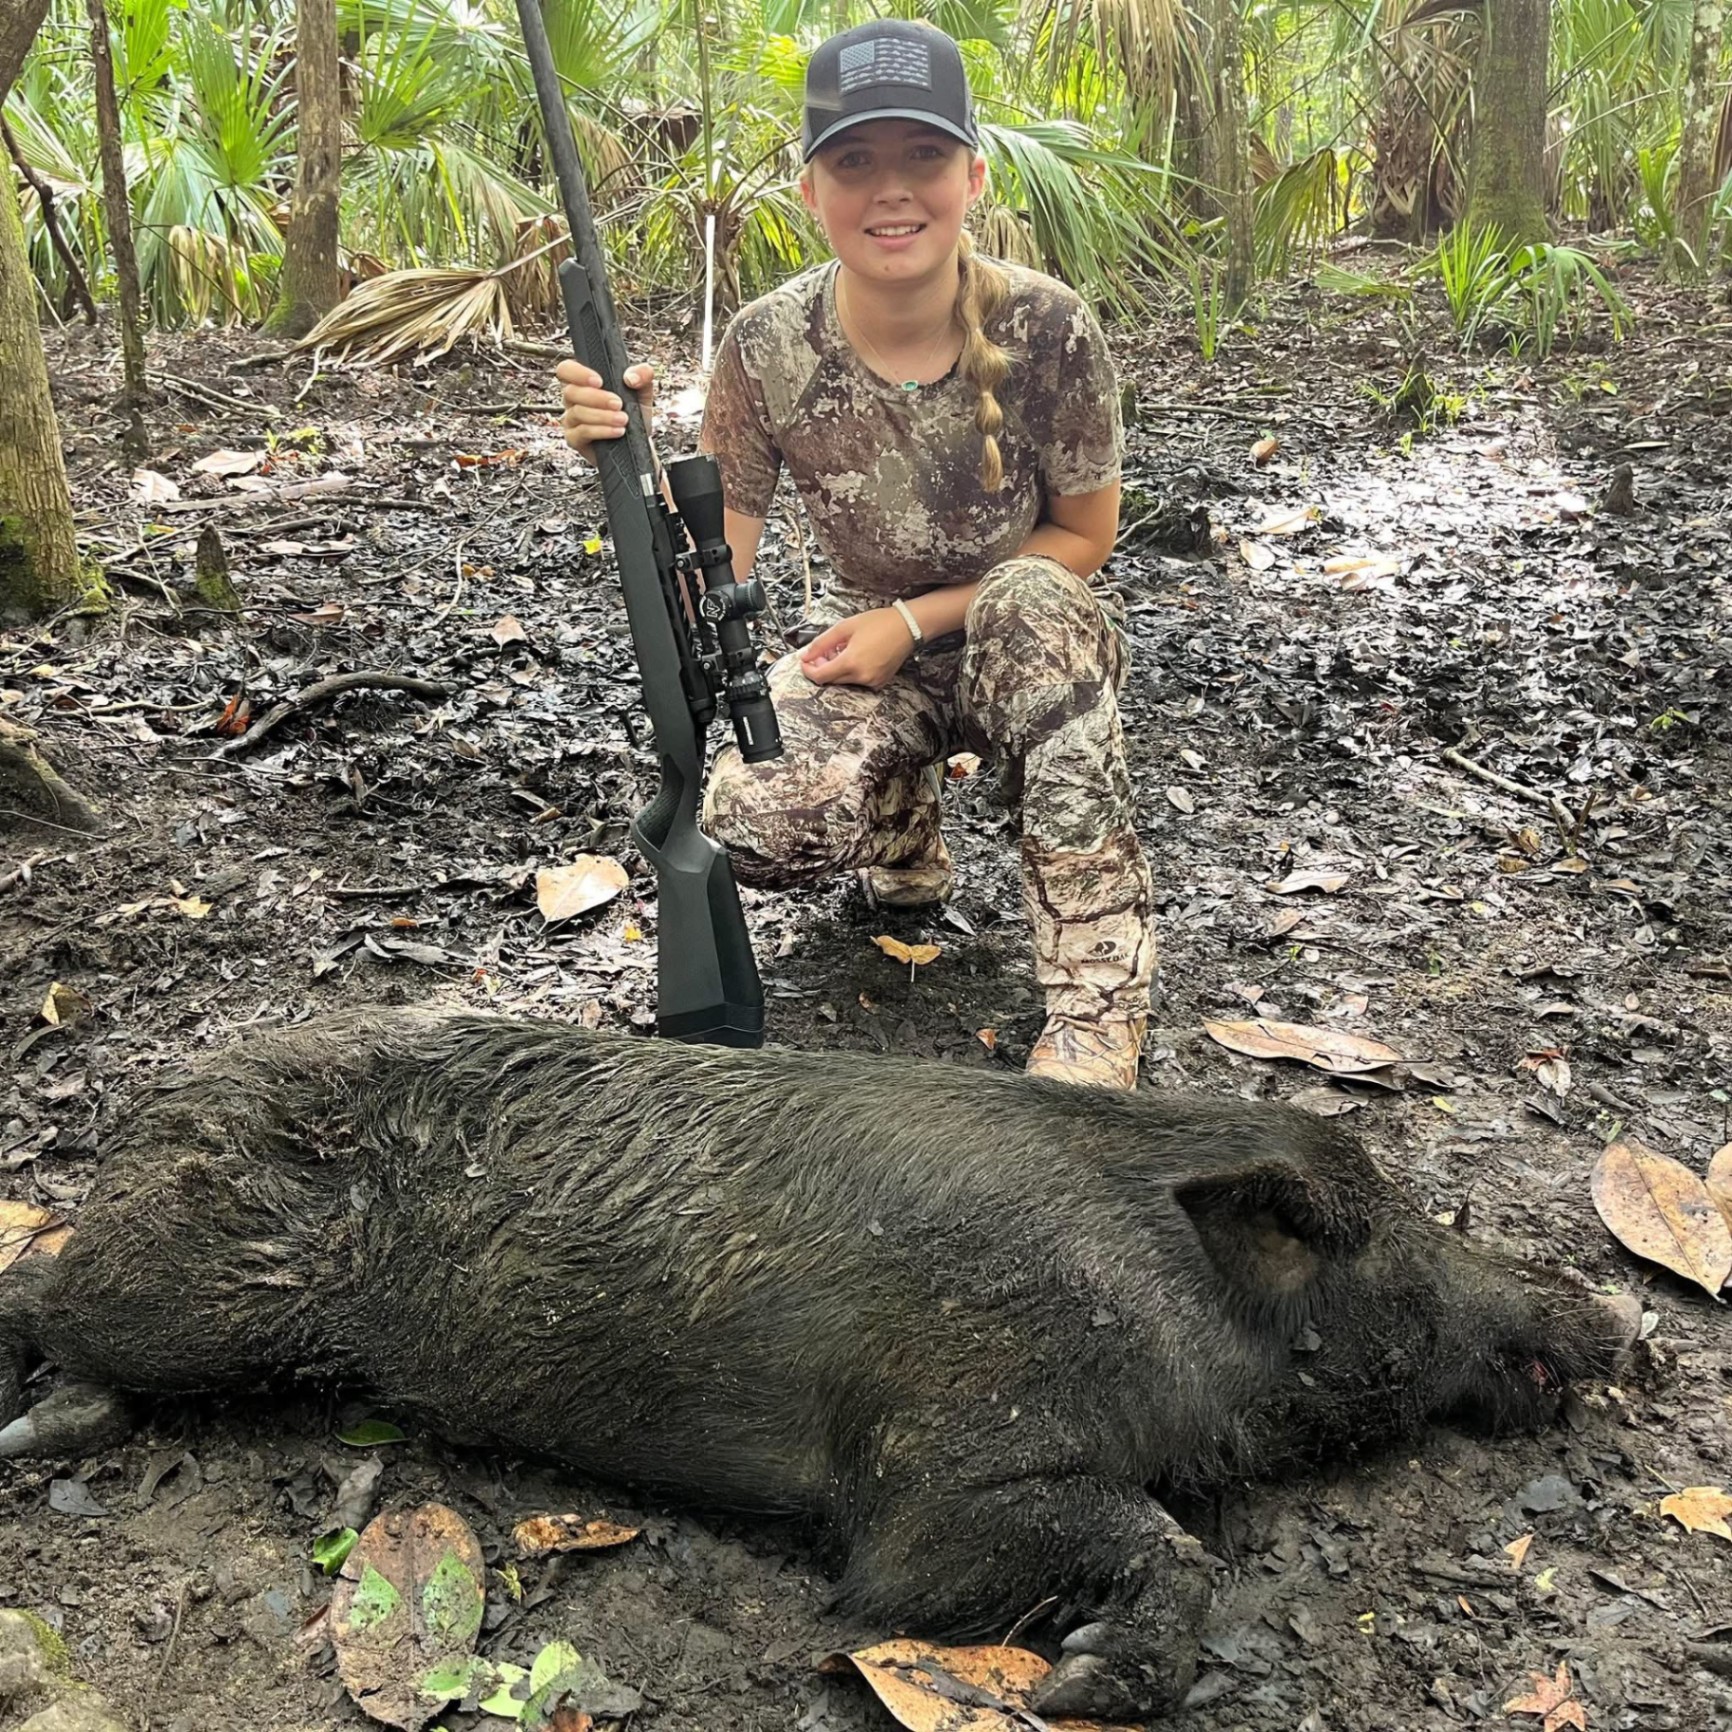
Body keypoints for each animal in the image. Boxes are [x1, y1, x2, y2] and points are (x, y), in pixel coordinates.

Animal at [0, 1008, 1635, 1720]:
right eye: (1397, 1241)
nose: (1611, 1318)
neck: (1169, 1310)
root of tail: (161, 1100)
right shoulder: (934, 1471)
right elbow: (1136, 1545)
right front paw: (1073, 1692)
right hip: (197, 1294)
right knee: (51, 1295)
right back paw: (39, 1427)